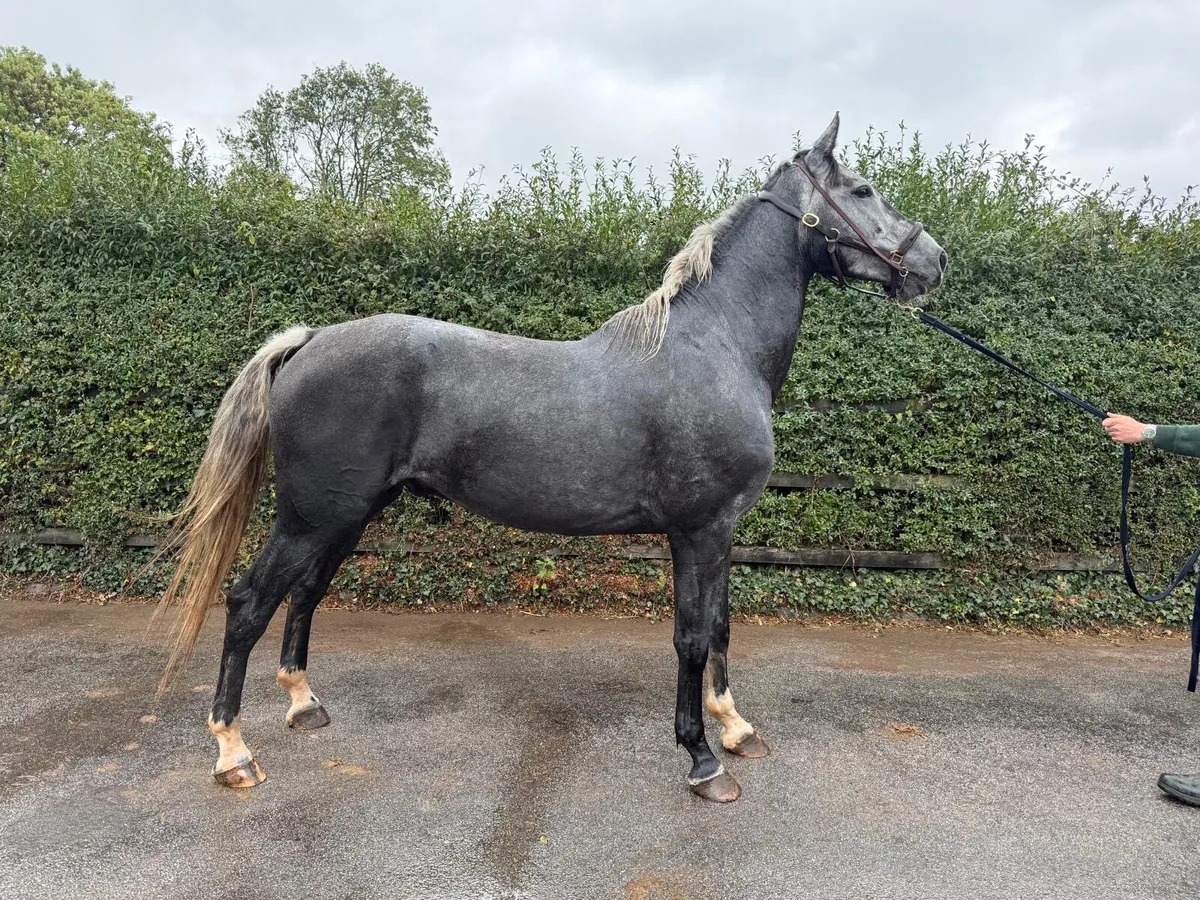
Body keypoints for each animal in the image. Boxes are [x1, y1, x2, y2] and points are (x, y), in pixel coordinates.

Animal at [155, 114, 947, 802]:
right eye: (863, 190)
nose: (935, 262)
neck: (716, 346)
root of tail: (310, 339)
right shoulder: (697, 530)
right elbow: (691, 638)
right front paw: (701, 760)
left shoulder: (720, 532)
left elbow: (721, 627)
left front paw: (735, 727)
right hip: (311, 517)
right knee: (249, 602)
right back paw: (233, 752)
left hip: (345, 517)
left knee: (304, 595)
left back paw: (303, 706)